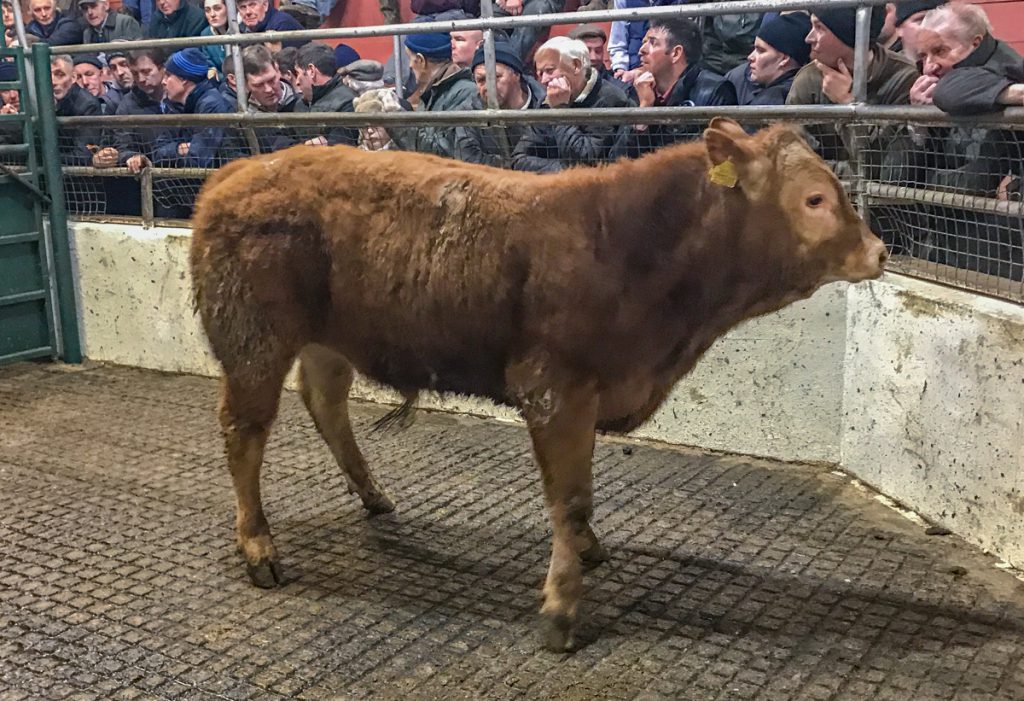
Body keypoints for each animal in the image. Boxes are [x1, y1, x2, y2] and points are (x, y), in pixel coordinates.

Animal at [189, 117, 887, 651]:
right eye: (815, 199)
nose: (880, 252)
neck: (630, 245)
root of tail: (239, 170)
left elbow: (579, 497)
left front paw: (586, 551)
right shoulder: (555, 388)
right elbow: (570, 498)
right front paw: (560, 610)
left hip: (329, 341)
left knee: (326, 406)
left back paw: (374, 495)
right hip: (254, 340)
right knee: (244, 432)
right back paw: (259, 547)